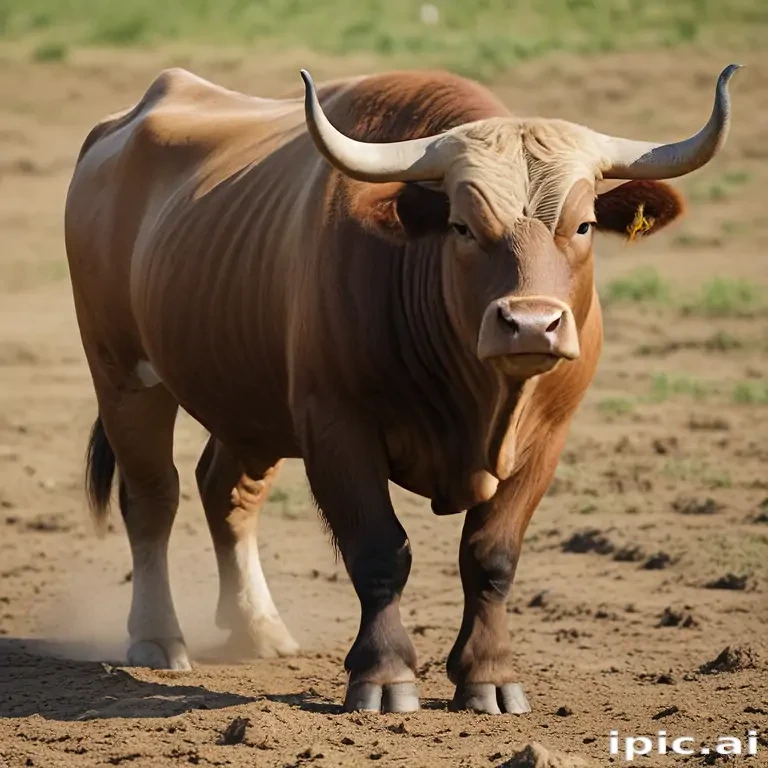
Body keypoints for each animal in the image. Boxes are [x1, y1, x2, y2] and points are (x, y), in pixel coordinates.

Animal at [64, 63, 739, 713]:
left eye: (584, 225)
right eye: (462, 227)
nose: (530, 324)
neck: (480, 401)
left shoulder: (547, 438)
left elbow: (491, 556)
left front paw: (489, 677)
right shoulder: (336, 427)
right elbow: (379, 550)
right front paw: (385, 675)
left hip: (247, 400)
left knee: (226, 493)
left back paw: (257, 628)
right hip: (122, 375)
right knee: (154, 498)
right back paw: (158, 637)